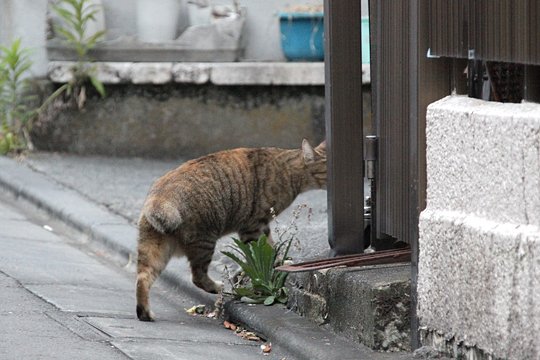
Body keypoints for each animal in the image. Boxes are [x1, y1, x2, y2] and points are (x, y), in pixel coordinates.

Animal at [137, 139, 326, 322]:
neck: (290, 170)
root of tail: (160, 197)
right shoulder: (253, 225)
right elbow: (259, 254)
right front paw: (273, 265)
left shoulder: (262, 226)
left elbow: (269, 248)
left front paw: (279, 261)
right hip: (205, 241)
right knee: (197, 276)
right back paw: (216, 287)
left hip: (154, 249)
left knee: (143, 278)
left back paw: (145, 313)